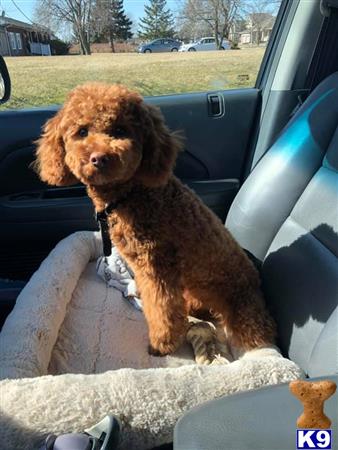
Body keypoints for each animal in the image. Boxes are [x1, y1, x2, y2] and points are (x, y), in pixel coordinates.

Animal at [35, 82, 274, 356]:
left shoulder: (157, 268)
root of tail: (256, 282)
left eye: (120, 130)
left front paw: (161, 344)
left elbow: (162, 308)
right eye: (82, 131)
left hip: (241, 307)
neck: (130, 194)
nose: (99, 158)